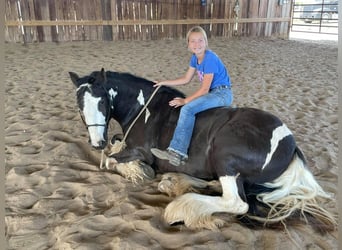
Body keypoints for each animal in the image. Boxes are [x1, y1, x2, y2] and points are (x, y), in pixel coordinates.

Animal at [68, 68, 336, 232]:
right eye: (79, 105)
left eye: (102, 101)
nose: (97, 143)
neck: (143, 109)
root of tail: (290, 144)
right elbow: (115, 147)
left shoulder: (142, 151)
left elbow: (113, 160)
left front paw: (139, 171)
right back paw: (178, 182)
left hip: (225, 156)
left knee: (237, 203)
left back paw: (184, 205)